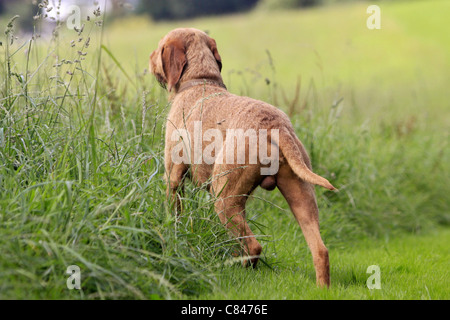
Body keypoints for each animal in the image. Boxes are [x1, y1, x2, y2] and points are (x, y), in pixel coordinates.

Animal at [149, 28, 336, 288]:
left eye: (159, 47)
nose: (149, 58)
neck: (200, 80)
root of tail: (275, 126)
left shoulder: (173, 176)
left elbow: (174, 212)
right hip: (301, 196)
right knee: (320, 250)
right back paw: (321, 288)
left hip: (224, 197)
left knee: (253, 246)